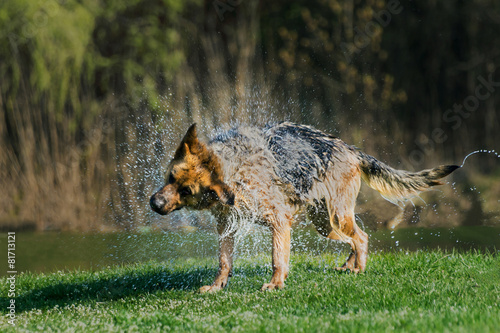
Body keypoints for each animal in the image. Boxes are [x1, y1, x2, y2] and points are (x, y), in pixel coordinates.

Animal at [150, 122, 458, 290]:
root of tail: (351, 149)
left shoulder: (279, 222)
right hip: (325, 223)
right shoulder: (227, 227)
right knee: (356, 238)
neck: (231, 171)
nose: (154, 203)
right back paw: (350, 266)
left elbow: (277, 259)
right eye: (171, 177)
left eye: (186, 191)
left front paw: (276, 285)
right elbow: (224, 261)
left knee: (362, 238)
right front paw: (217, 287)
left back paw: (359, 269)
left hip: (337, 216)